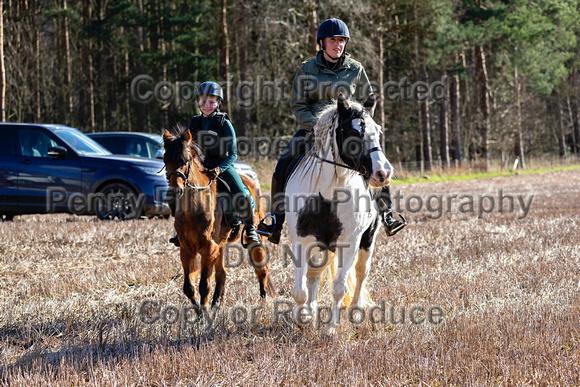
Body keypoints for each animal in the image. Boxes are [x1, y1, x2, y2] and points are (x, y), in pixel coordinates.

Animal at [161, 129, 274, 314]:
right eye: (165, 160)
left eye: (186, 160)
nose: (174, 191)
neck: (193, 210)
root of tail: (251, 182)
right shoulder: (186, 249)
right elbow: (189, 287)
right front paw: (199, 312)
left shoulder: (208, 248)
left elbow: (204, 285)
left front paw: (204, 313)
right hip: (221, 244)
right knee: (222, 274)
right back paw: (216, 303)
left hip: (255, 240)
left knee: (261, 269)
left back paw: (263, 304)